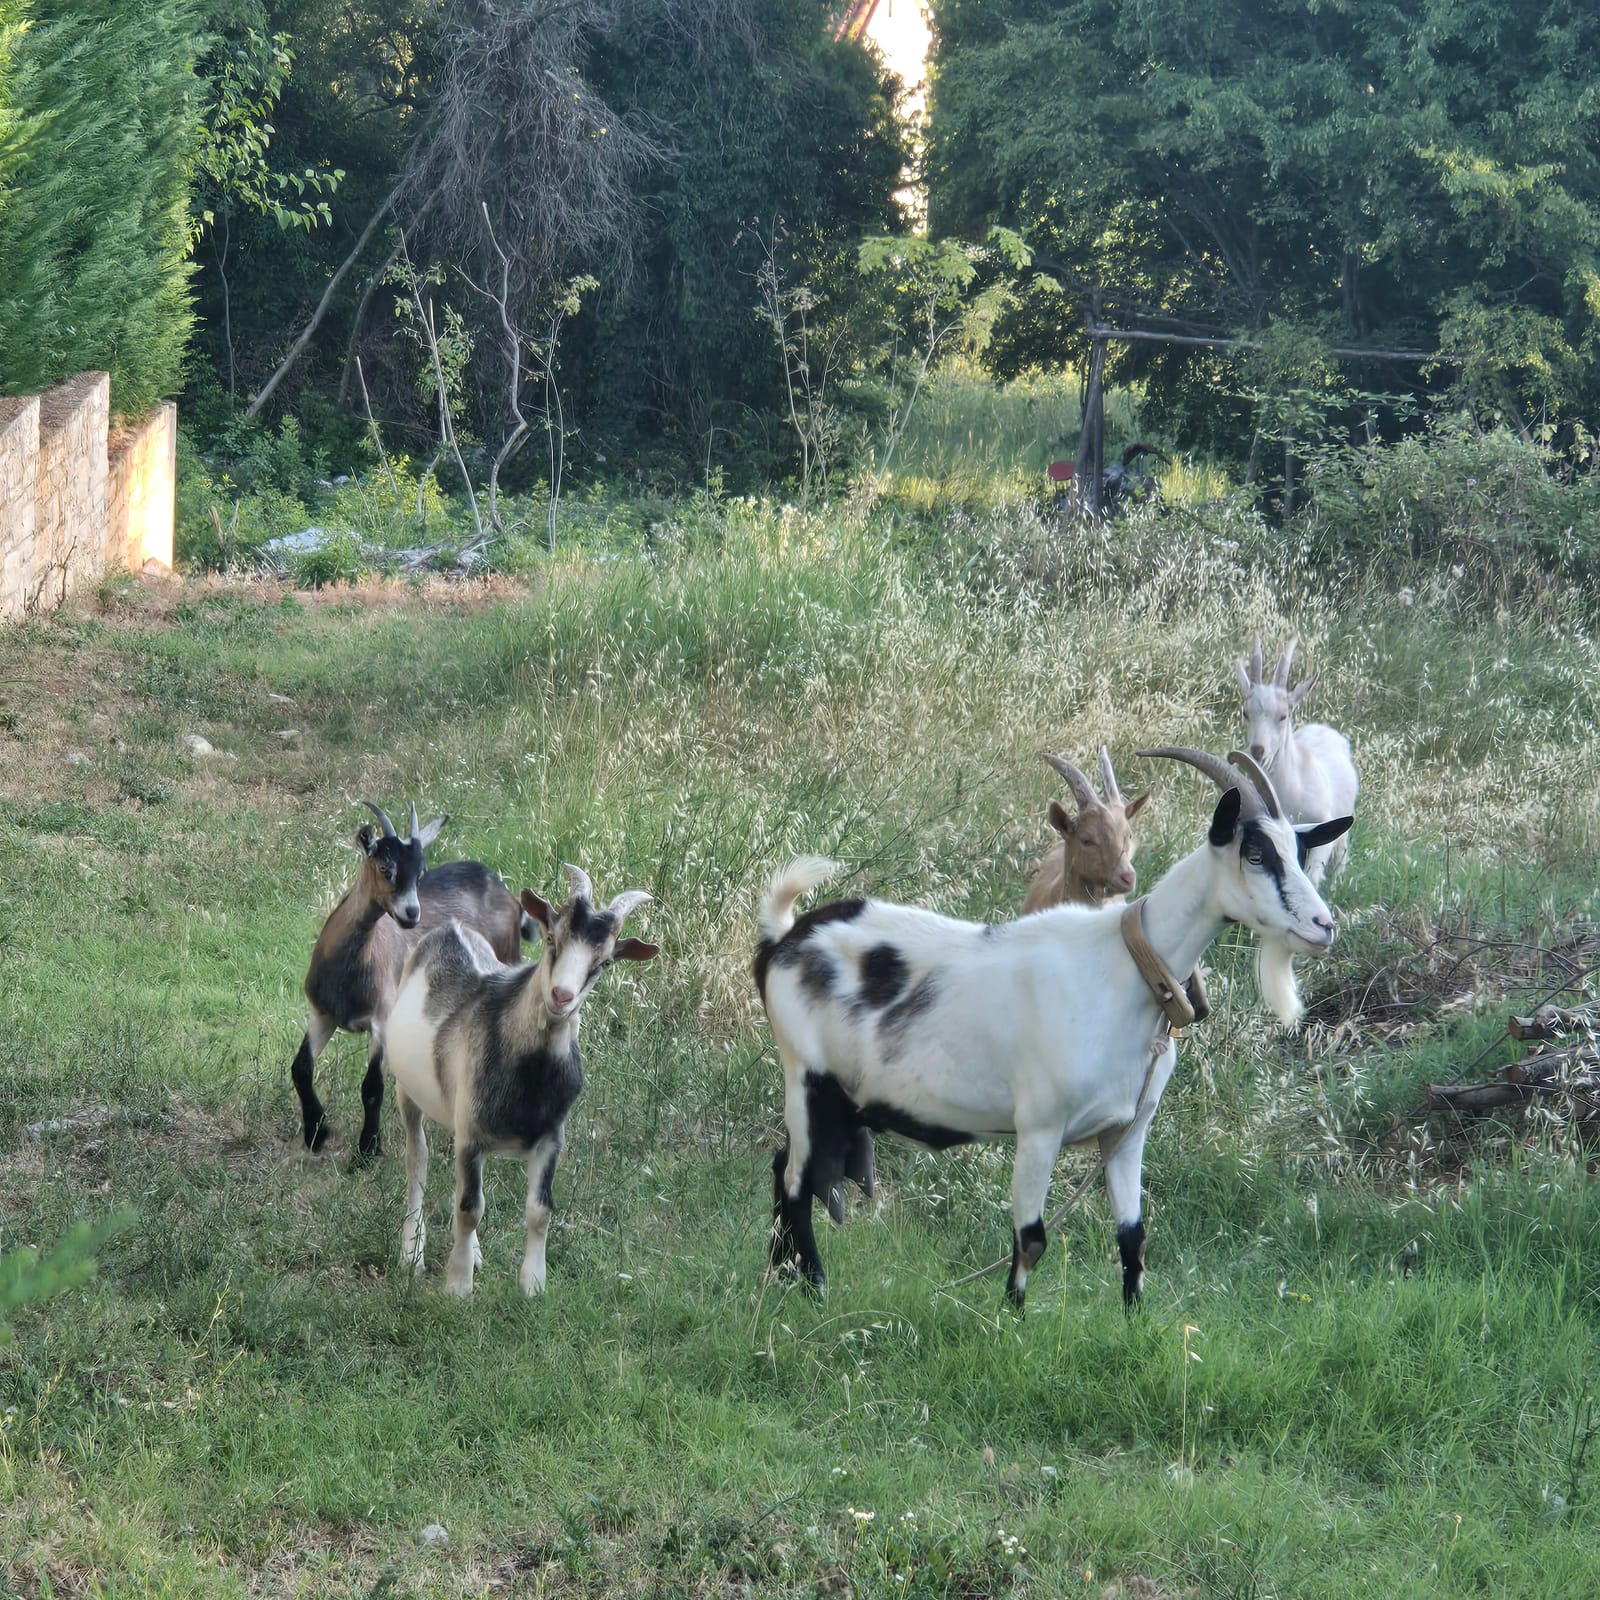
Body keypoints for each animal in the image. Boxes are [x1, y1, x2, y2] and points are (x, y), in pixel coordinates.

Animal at [290, 800, 532, 1158]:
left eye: (420, 873)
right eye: (385, 867)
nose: (411, 913)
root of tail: (506, 893)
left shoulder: (381, 1019)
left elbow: (372, 1087)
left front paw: (367, 1149)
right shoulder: (324, 1013)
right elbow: (301, 1068)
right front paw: (316, 1133)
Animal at [384, 864, 658, 1296]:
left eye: (604, 963)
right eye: (551, 939)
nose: (561, 996)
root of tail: (450, 928)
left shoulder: (549, 1138)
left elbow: (539, 1210)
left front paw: (533, 1285)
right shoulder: (472, 1137)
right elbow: (469, 1208)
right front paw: (458, 1286)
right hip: (406, 1089)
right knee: (418, 1159)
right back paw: (412, 1252)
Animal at [1236, 635, 1359, 884]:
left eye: (1283, 715)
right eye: (1246, 713)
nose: (1258, 751)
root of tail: (1325, 729)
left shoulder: (1322, 827)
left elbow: (1312, 874)